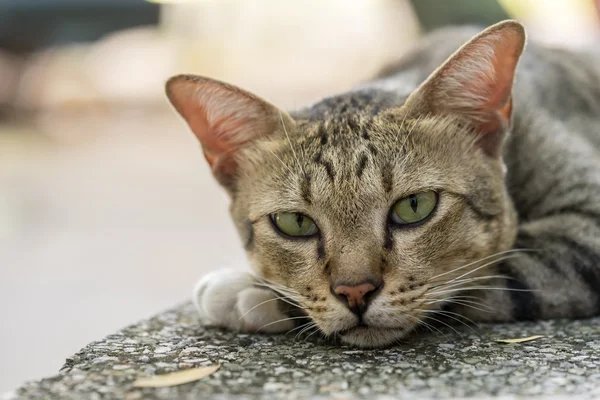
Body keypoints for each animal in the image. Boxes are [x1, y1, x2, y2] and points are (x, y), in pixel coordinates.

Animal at [164, 21, 600, 346]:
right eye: (295, 222)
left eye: (415, 206)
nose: (356, 291)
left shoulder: (585, 230)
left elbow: (491, 276)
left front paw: (241, 290)